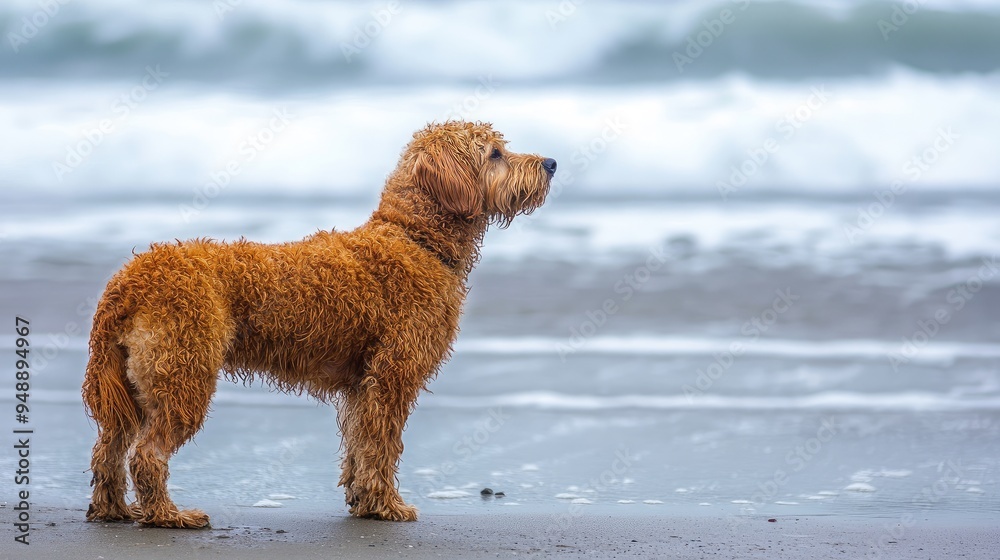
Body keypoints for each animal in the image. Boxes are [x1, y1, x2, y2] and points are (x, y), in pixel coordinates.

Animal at [81, 120, 556, 528]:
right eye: (495, 153)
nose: (550, 163)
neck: (415, 238)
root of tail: (129, 280)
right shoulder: (393, 375)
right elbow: (381, 446)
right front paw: (387, 505)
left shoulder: (363, 383)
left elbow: (361, 445)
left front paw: (364, 500)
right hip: (183, 373)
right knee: (147, 454)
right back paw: (167, 515)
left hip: (131, 382)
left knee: (109, 448)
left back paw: (113, 510)